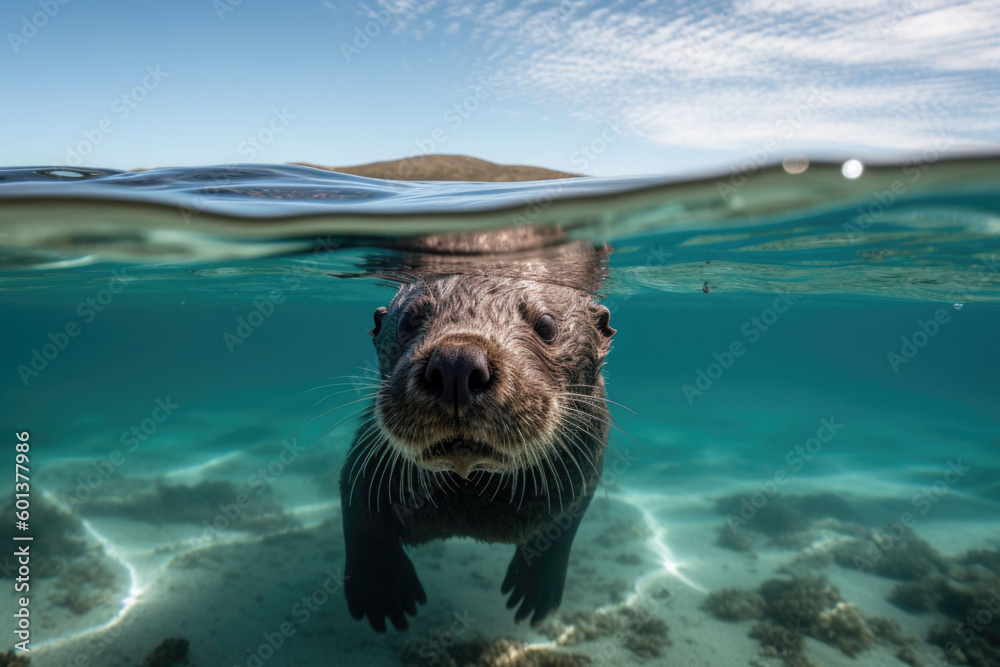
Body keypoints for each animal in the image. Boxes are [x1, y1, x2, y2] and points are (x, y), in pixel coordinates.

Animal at [339, 246, 615, 633]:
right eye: (407, 321)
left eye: (546, 325)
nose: (456, 361)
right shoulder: (368, 454)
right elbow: (357, 510)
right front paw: (380, 588)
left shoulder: (587, 474)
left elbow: (564, 527)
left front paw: (536, 588)